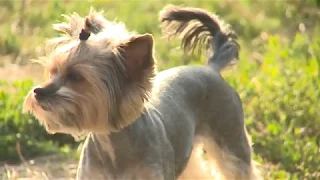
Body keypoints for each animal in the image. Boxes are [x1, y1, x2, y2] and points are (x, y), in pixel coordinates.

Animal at [23, 4, 262, 179]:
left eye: (76, 77)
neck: (111, 142)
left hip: (231, 139)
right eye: (52, 72)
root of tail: (211, 68)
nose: (38, 91)